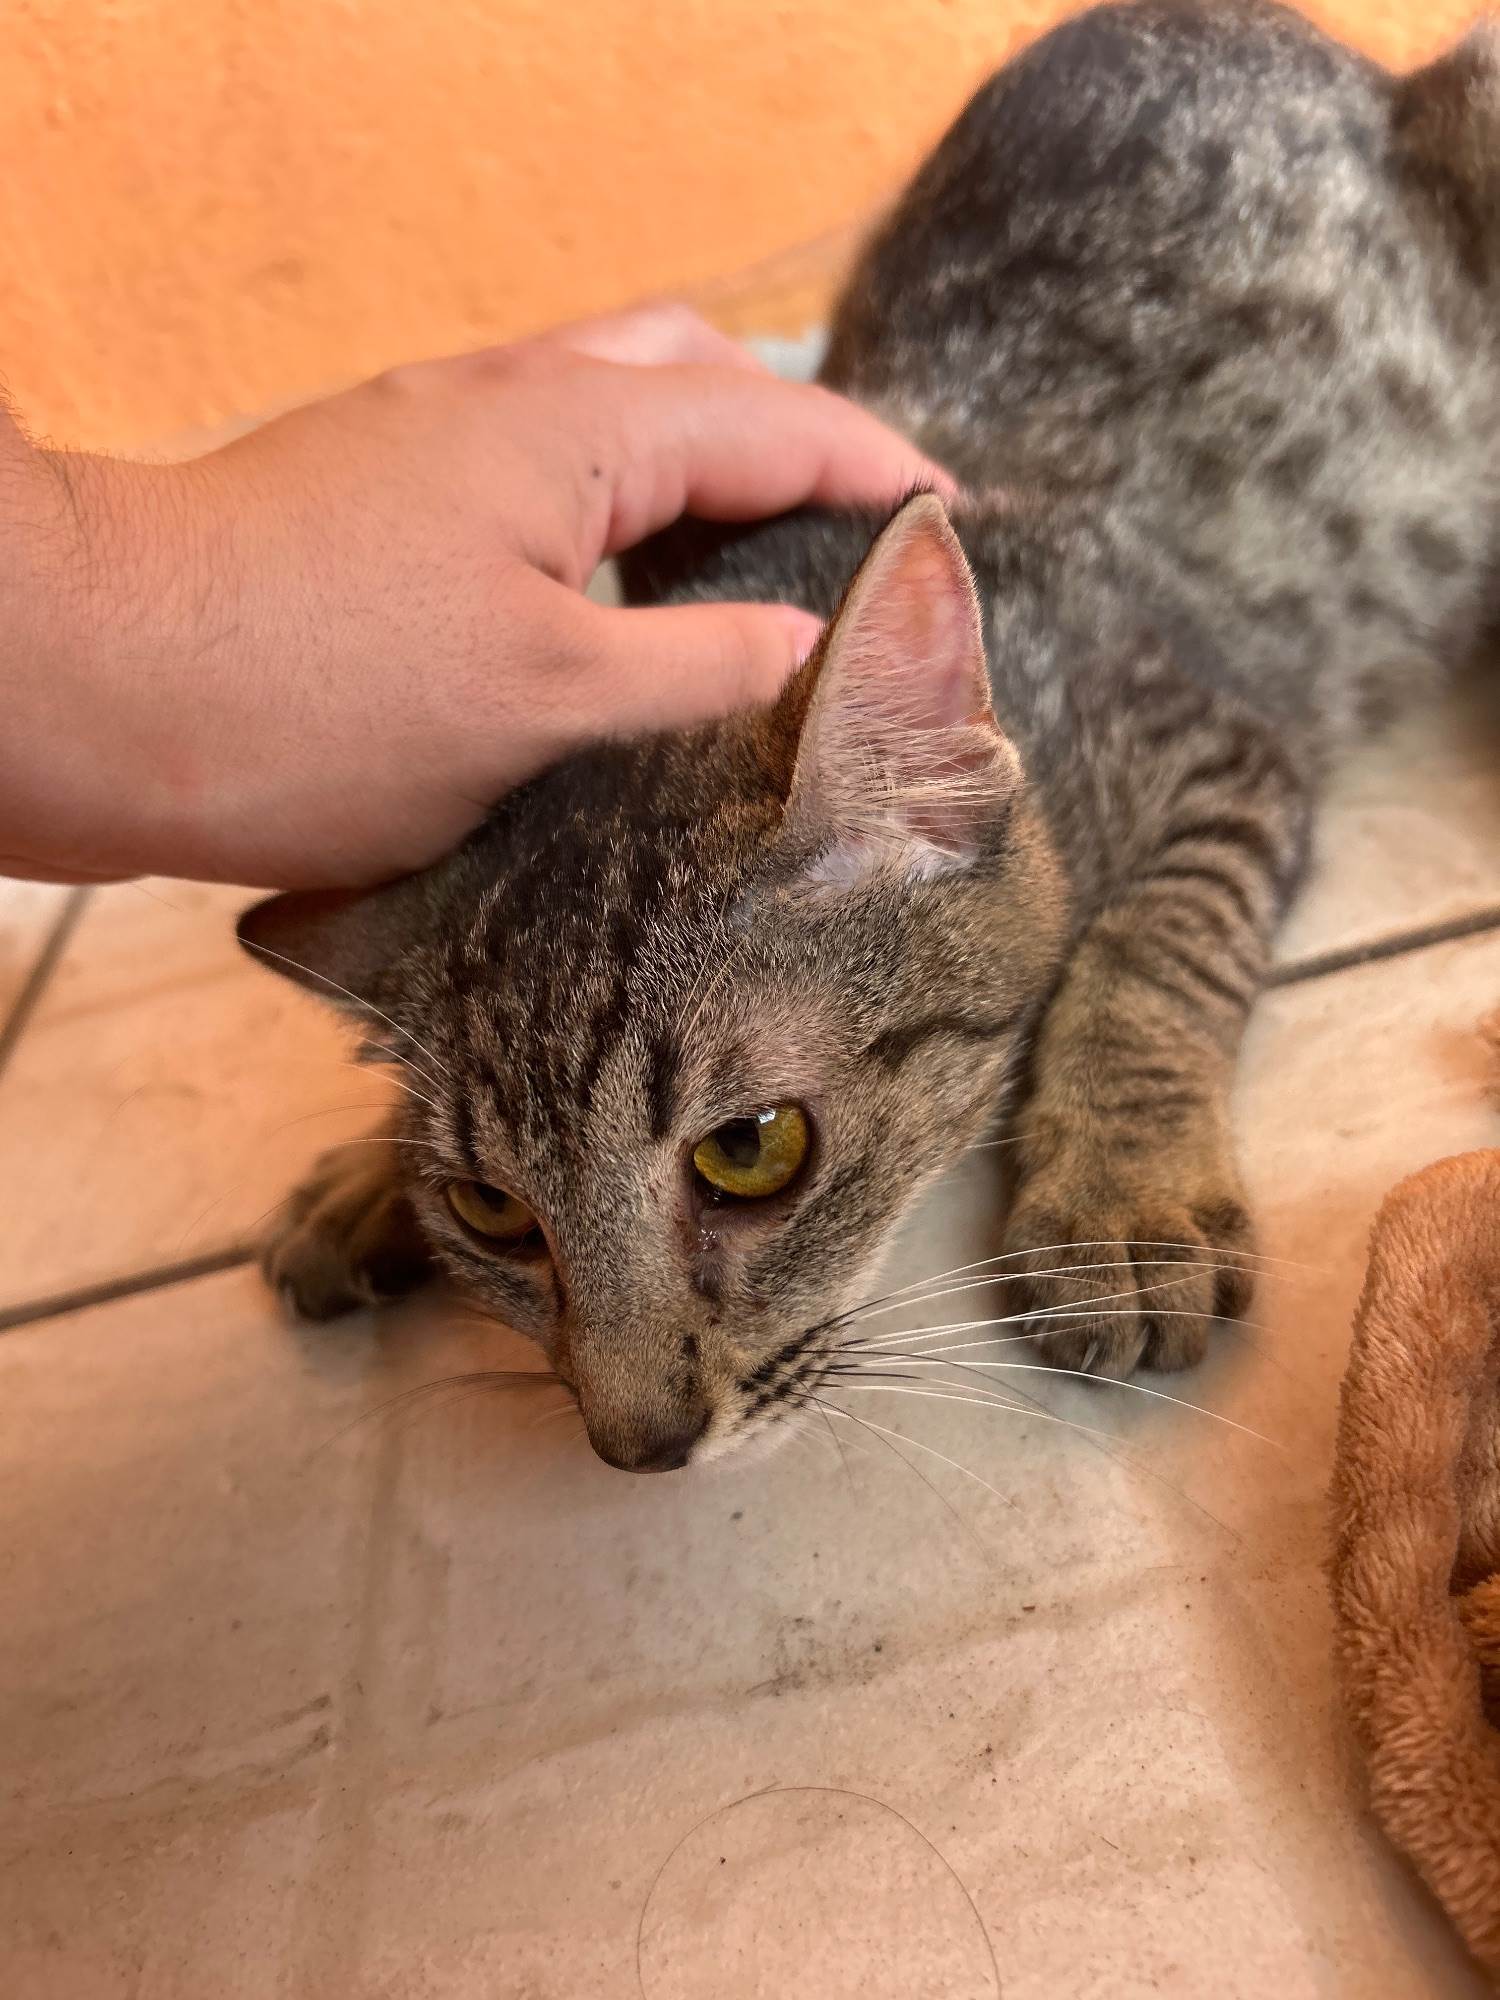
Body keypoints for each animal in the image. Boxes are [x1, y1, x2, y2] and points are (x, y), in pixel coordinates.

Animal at [242, 0, 1500, 1473]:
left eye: (751, 1149)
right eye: (492, 1211)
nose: (636, 1444)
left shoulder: (1214, 738)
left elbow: (1149, 943)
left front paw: (1120, 1199)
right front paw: (366, 1177)